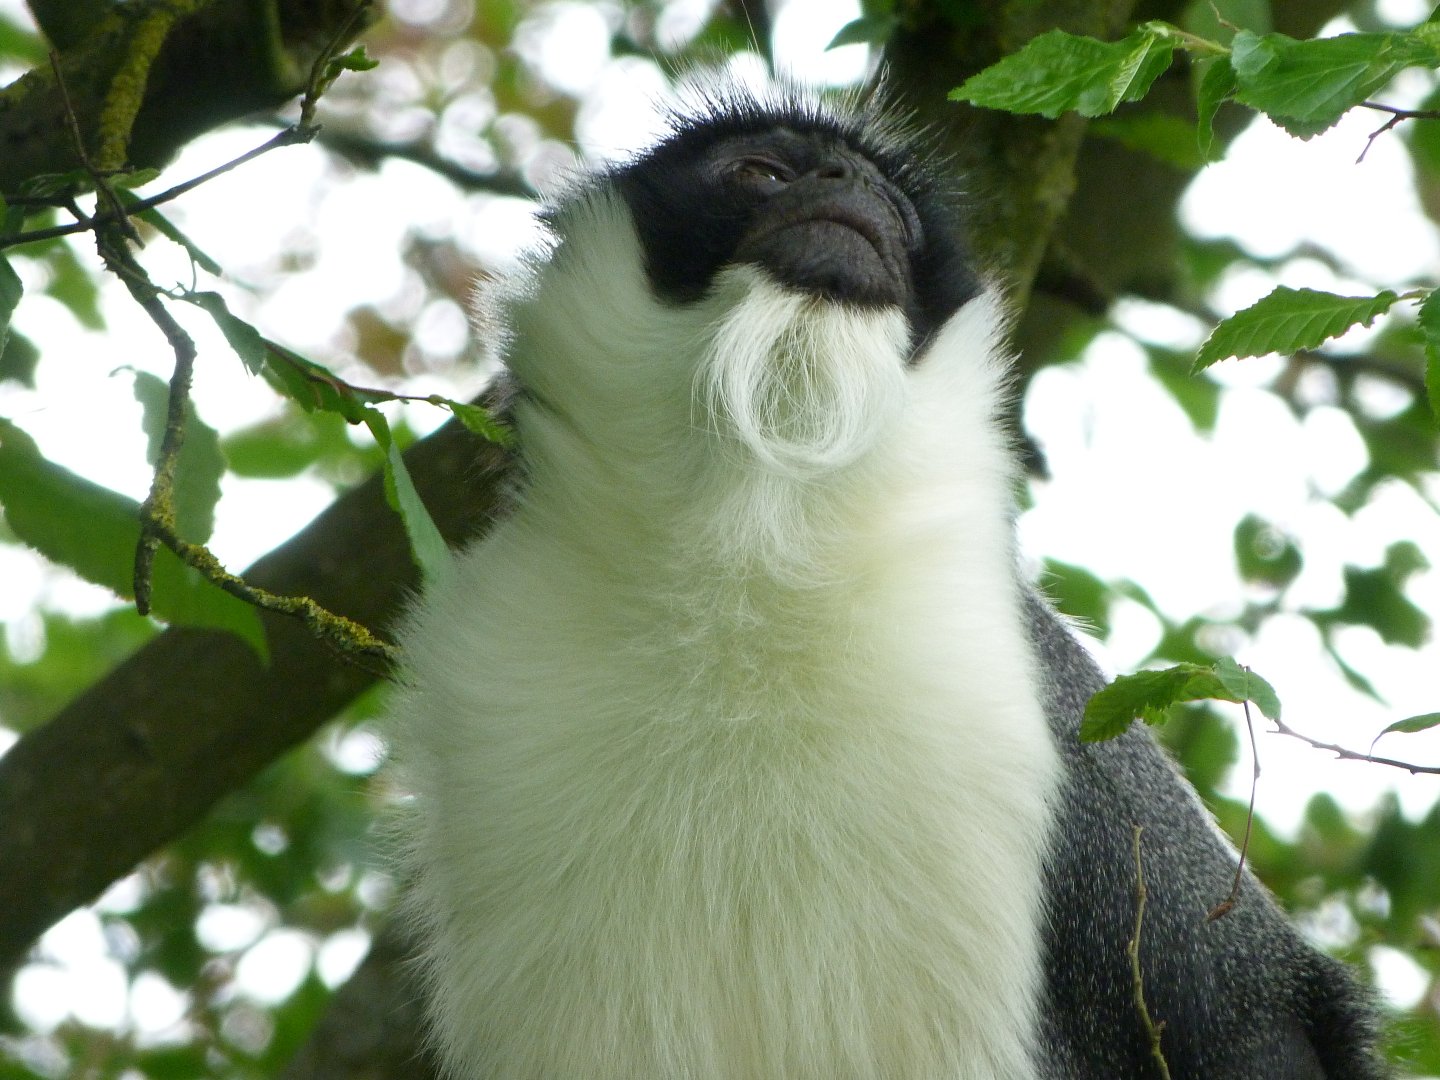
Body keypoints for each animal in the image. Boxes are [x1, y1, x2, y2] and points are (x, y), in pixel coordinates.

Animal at [383, 86, 1387, 1079]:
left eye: (895, 214)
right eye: (761, 171)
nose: (846, 182)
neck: (748, 540)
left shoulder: (1045, 711)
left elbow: (1250, 1018)